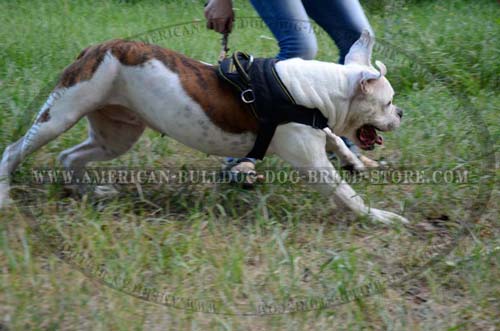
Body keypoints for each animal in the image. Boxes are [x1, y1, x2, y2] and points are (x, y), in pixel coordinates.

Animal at [0, 29, 406, 224]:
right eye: (387, 101)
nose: (401, 113)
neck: (319, 92)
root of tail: (93, 49)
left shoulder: (319, 132)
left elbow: (334, 136)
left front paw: (355, 161)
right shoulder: (314, 165)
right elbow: (347, 196)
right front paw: (381, 218)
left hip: (116, 135)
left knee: (71, 156)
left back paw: (89, 193)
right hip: (60, 115)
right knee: (13, 151)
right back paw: (6, 197)